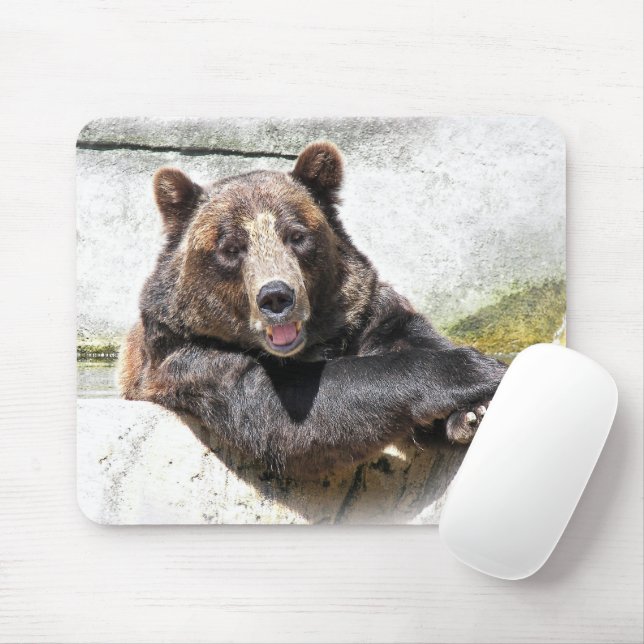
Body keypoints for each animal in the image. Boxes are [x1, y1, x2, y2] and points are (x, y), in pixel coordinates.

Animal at [119, 141, 507, 476]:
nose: (276, 297)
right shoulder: (192, 359)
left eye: (297, 235)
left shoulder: (365, 314)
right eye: (230, 247)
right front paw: (478, 369)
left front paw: (473, 411)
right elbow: (288, 412)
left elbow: (408, 335)